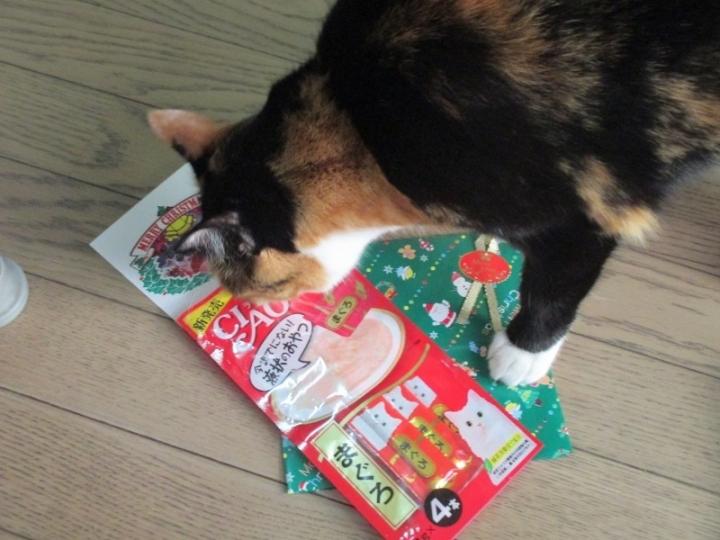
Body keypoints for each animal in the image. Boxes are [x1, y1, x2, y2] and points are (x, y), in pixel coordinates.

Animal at [147, 0, 720, 386]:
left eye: (251, 286)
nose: (242, 304)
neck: (360, 124)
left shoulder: (581, 217)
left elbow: (553, 289)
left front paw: (521, 356)